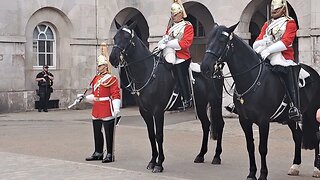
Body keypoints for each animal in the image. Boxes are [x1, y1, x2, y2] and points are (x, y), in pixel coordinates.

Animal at [110, 22, 225, 173]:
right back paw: (200, 155)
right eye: (115, 37)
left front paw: (159, 164)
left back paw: (217, 156)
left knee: (220, 124)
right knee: (206, 125)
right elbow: (151, 135)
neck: (148, 72)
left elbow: (159, 136)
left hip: (216, 102)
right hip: (200, 105)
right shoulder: (145, 112)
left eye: (127, 37)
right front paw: (152, 161)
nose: (113, 58)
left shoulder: (158, 111)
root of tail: (216, 68)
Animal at [202, 22, 320, 180]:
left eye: (221, 40)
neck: (251, 79)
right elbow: (250, 146)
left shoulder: (263, 121)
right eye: (208, 39)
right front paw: (252, 173)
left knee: (316, 137)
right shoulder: (244, 121)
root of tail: (314, 73)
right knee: (298, 136)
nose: (204, 67)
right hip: (290, 118)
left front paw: (263, 174)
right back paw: (295, 166)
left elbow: (262, 148)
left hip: (312, 113)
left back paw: (316, 169)